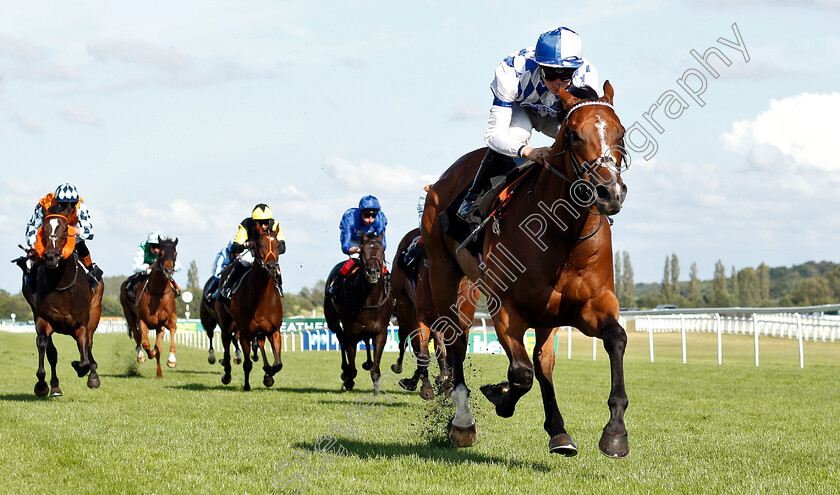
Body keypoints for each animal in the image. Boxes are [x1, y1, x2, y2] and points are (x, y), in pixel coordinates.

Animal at [16, 214, 104, 400]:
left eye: (65, 230)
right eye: (44, 229)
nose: (51, 256)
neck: (61, 285)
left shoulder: (81, 324)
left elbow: (84, 357)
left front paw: (84, 369)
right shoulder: (43, 320)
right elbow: (45, 347)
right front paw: (42, 385)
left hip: (95, 312)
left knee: (89, 344)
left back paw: (92, 374)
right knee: (52, 352)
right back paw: (55, 386)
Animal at [119, 238, 180, 378]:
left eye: (175, 254)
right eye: (161, 254)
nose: (168, 271)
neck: (157, 293)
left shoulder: (168, 319)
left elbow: (172, 331)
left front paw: (171, 360)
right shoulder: (142, 320)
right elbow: (146, 343)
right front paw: (149, 353)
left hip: (158, 326)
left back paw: (159, 372)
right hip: (128, 314)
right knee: (137, 336)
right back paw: (141, 356)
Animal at [215, 232, 284, 392]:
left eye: (278, 245)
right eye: (259, 244)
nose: (272, 267)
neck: (261, 300)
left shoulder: (274, 330)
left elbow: (278, 364)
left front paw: (268, 374)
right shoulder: (244, 333)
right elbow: (247, 364)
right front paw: (247, 385)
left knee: (260, 343)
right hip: (226, 323)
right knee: (226, 342)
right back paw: (227, 373)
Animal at [326, 232, 396, 396]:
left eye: (382, 250)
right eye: (363, 251)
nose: (373, 272)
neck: (368, 300)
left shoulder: (380, 332)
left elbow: (375, 366)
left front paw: (376, 389)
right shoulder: (351, 333)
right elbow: (352, 365)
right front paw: (348, 378)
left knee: (364, 340)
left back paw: (367, 363)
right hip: (333, 321)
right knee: (340, 338)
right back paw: (345, 370)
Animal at [426, 80, 632, 458]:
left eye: (620, 132)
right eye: (574, 135)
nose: (610, 192)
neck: (561, 231)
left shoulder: (591, 304)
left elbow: (616, 339)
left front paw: (614, 432)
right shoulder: (506, 309)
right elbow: (520, 374)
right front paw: (498, 396)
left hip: (543, 313)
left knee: (543, 360)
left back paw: (559, 432)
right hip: (446, 277)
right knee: (457, 337)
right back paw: (463, 421)